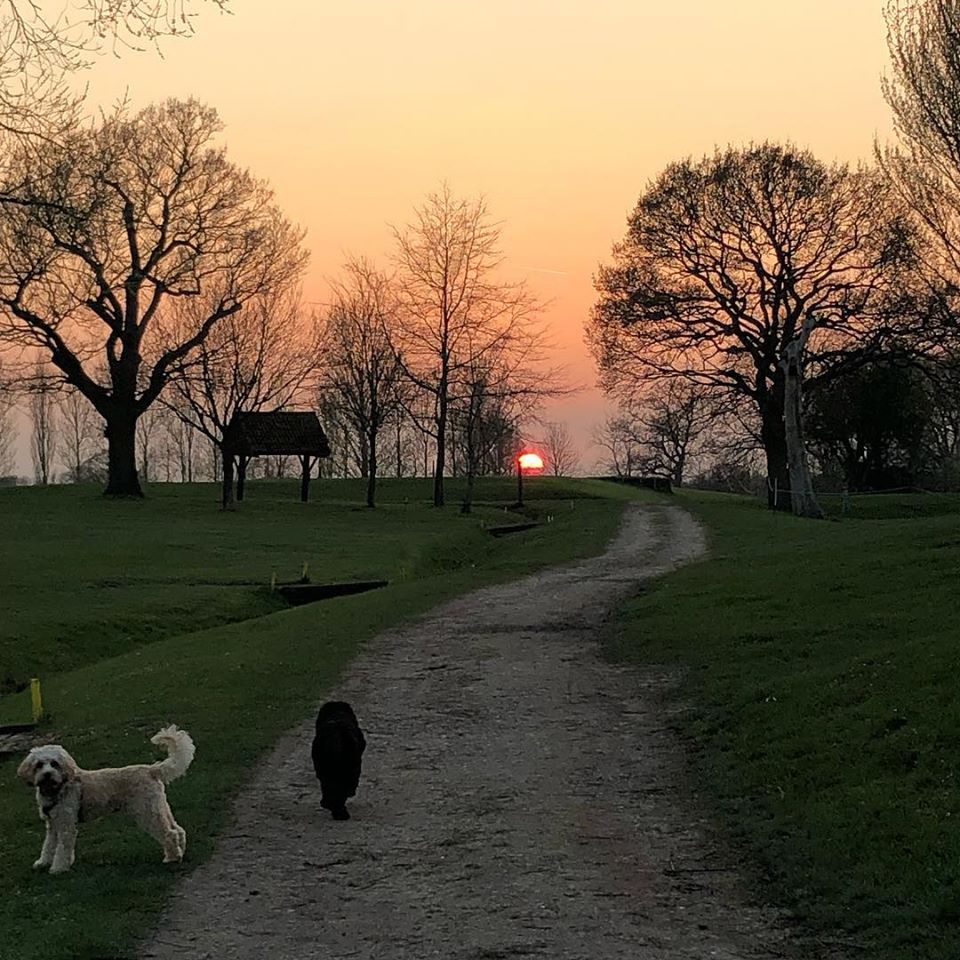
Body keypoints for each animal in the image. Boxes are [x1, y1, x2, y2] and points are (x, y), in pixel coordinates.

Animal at [16, 724, 194, 872]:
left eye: (54, 763)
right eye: (39, 765)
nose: (47, 774)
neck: (57, 788)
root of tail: (151, 769)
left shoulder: (66, 824)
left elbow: (62, 849)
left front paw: (58, 868)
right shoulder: (52, 825)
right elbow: (48, 846)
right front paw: (43, 863)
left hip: (147, 812)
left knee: (169, 833)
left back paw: (172, 857)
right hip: (159, 807)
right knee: (178, 830)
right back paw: (180, 852)